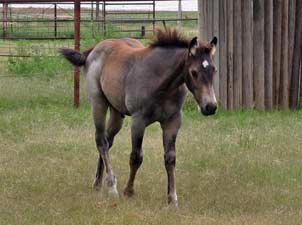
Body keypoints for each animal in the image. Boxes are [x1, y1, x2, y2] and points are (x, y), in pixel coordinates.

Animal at [60, 29, 218, 207]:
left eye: (214, 70)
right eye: (194, 72)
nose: (210, 107)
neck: (162, 84)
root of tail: (94, 49)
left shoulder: (173, 121)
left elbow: (170, 158)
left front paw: (172, 199)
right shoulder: (138, 121)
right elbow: (136, 156)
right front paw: (128, 191)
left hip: (117, 113)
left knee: (107, 141)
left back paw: (97, 184)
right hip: (98, 103)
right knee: (101, 141)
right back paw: (112, 187)